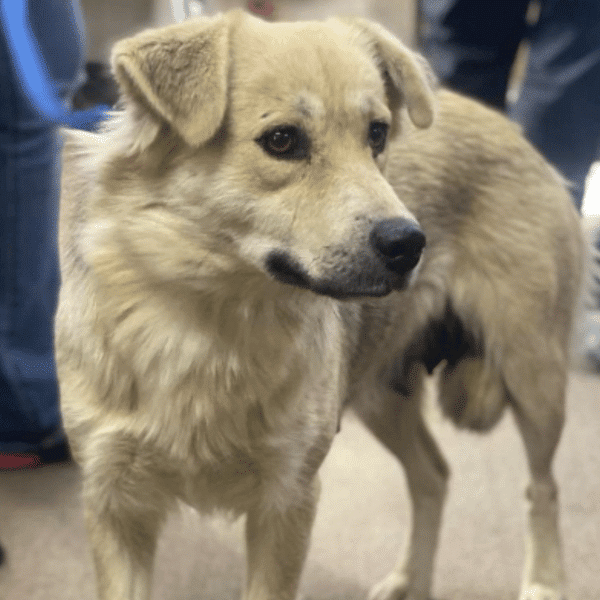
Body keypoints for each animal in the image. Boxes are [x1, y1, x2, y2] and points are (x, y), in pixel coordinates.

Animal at [55, 9, 580, 600]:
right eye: (282, 140)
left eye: (377, 135)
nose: (409, 244)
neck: (209, 320)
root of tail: (510, 125)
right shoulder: (116, 505)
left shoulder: (288, 500)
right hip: (380, 391)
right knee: (433, 476)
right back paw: (411, 579)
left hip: (532, 377)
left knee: (543, 487)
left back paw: (544, 581)